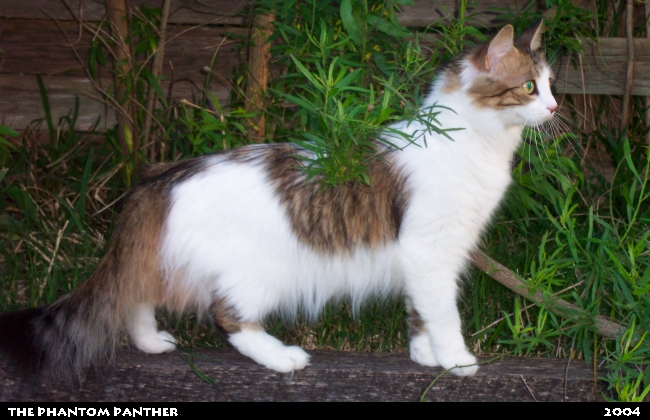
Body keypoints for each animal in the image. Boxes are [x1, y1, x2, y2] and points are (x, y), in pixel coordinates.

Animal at [0, 21, 556, 378]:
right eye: (530, 87)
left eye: (551, 84)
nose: (555, 107)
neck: (473, 141)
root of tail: (162, 177)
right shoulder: (431, 250)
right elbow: (443, 314)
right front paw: (457, 361)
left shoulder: (425, 258)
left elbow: (419, 311)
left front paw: (425, 354)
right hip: (261, 273)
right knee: (228, 318)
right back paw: (283, 357)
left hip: (168, 260)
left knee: (137, 296)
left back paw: (151, 342)